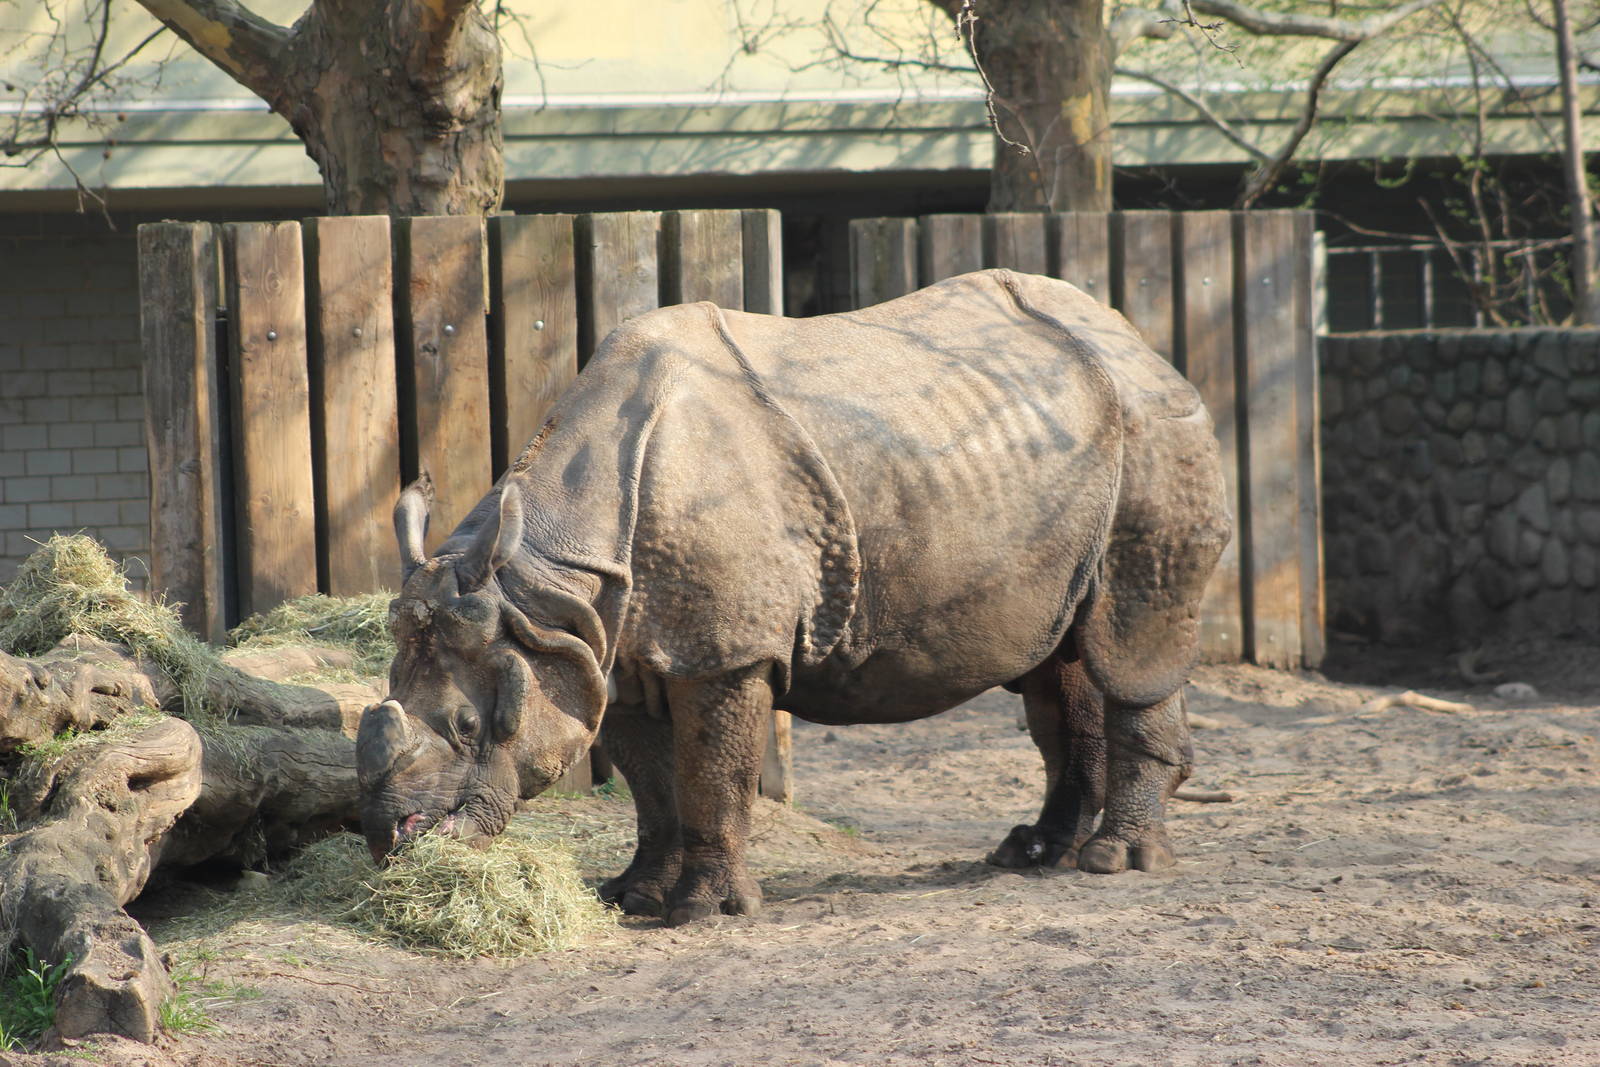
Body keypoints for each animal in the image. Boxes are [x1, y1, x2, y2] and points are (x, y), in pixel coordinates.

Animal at [356, 268, 1231, 926]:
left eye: (469, 727)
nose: (387, 833)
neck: (542, 584)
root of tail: (1136, 339)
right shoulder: (606, 645)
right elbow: (652, 781)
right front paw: (633, 896)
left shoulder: (722, 649)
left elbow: (712, 770)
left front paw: (705, 912)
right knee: (1058, 655)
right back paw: (1034, 853)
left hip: (1154, 432)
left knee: (1130, 643)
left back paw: (1118, 861)